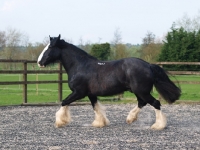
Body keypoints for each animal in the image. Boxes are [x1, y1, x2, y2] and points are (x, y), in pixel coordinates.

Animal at [37, 34, 181, 129]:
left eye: (49, 48)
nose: (39, 62)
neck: (80, 66)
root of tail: (148, 65)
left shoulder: (79, 92)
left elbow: (64, 102)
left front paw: (60, 122)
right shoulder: (91, 94)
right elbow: (96, 107)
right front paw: (100, 123)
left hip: (142, 91)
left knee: (155, 103)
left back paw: (158, 125)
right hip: (139, 92)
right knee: (142, 103)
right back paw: (130, 119)